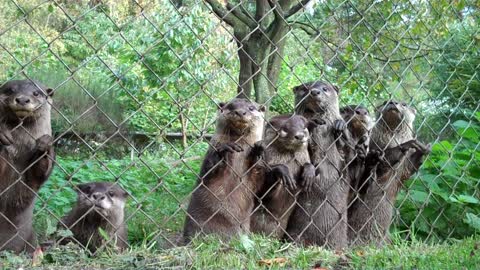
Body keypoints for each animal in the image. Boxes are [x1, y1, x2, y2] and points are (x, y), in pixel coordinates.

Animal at [0, 79, 54, 253]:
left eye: (36, 93)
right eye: (10, 90)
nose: (23, 99)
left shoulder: (34, 180)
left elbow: (39, 174)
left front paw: (45, 145)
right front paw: (2, 132)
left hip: (31, 240)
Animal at [184, 98, 266, 243]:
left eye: (251, 108)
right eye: (231, 106)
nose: (240, 112)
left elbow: (258, 179)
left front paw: (258, 150)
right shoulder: (212, 148)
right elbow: (209, 170)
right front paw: (225, 149)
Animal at [346, 100, 430, 246]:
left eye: (404, 104)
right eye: (385, 102)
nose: (392, 101)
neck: (392, 141)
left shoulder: (404, 167)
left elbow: (409, 168)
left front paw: (421, 149)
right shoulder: (376, 147)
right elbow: (384, 161)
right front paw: (406, 145)